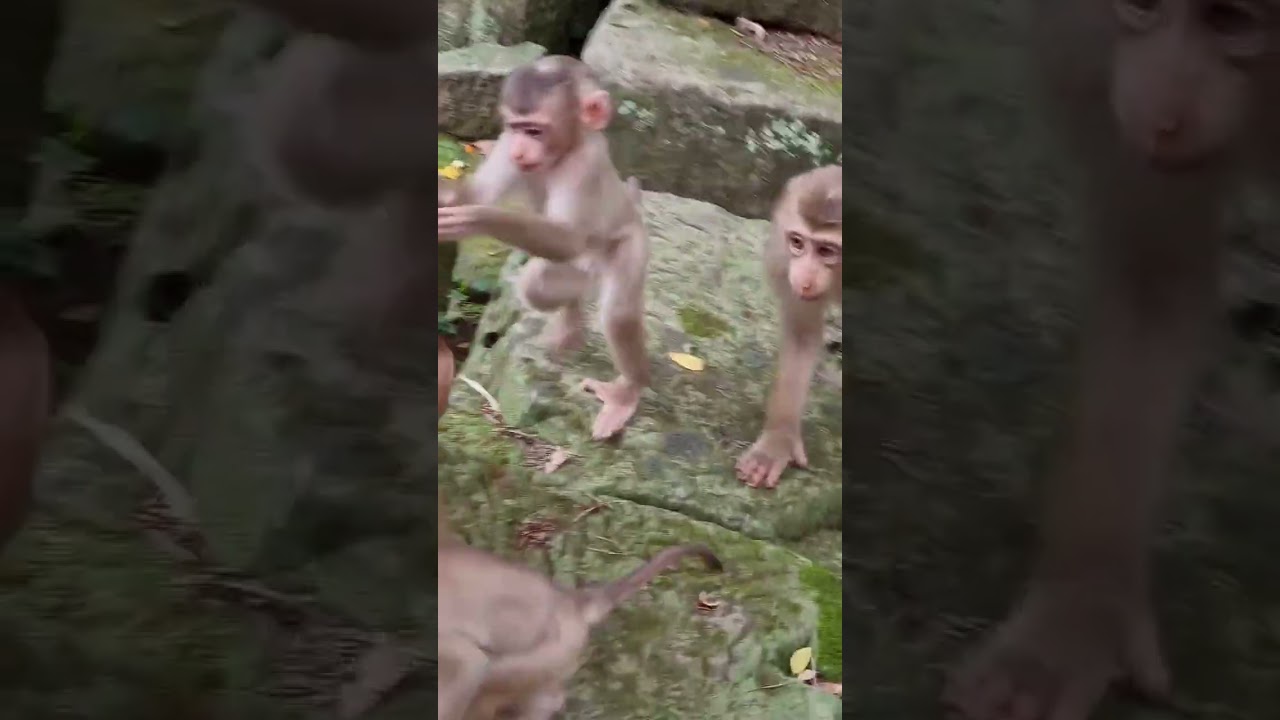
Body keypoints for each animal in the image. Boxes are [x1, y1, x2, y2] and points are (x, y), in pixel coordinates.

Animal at [437, 56, 652, 442]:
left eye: (535, 130)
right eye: (517, 127)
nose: (521, 150)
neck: (562, 153)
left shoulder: (585, 163)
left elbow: (567, 239)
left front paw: (475, 218)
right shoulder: (504, 142)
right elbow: (475, 193)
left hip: (628, 246)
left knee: (618, 313)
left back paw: (627, 392)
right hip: (575, 270)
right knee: (538, 286)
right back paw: (571, 326)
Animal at [735, 165, 842, 490]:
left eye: (826, 250)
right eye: (797, 242)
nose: (804, 279)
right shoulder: (782, 262)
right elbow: (801, 334)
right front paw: (776, 443)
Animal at [943, 2, 1280, 719]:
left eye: (1233, 19)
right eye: (1144, 6)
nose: (1160, 112)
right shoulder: (1086, 47)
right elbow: (1151, 281)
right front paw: (1074, 621)